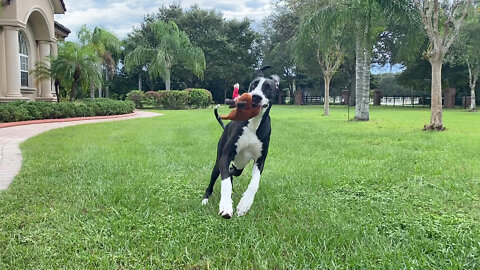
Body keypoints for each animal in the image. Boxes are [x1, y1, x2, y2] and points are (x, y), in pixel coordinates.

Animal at [202, 75, 278, 218]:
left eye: (269, 88)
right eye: (253, 85)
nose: (256, 97)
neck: (253, 123)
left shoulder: (260, 160)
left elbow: (254, 183)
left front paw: (244, 204)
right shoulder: (225, 157)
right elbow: (225, 182)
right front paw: (226, 205)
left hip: (239, 166)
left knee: (233, 171)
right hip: (218, 162)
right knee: (216, 177)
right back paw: (205, 198)